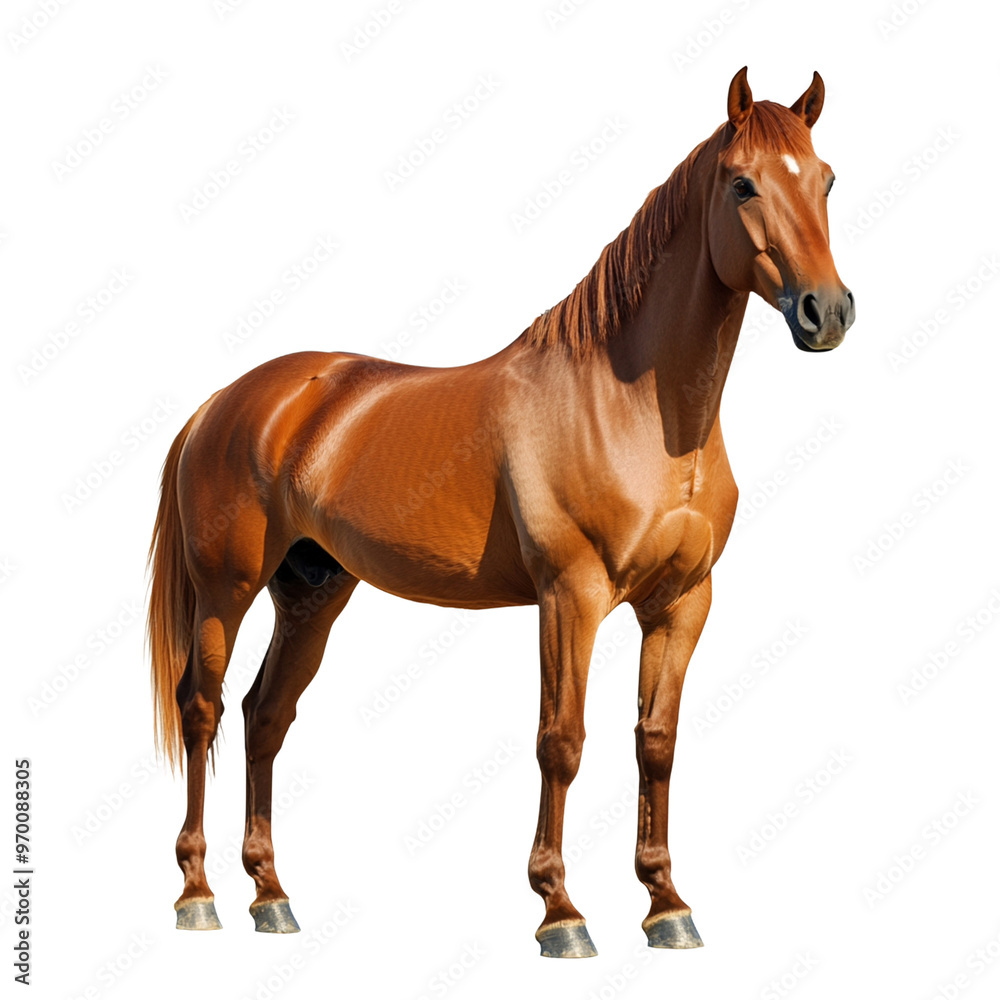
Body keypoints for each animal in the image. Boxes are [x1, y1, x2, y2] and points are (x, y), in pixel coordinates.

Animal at [147, 66, 854, 957]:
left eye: (826, 179)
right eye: (742, 184)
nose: (827, 311)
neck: (627, 407)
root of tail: (223, 402)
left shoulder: (682, 603)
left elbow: (655, 744)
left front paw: (666, 905)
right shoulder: (570, 596)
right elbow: (563, 742)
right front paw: (561, 912)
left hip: (312, 593)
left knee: (264, 716)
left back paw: (271, 896)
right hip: (226, 590)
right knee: (202, 711)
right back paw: (196, 894)